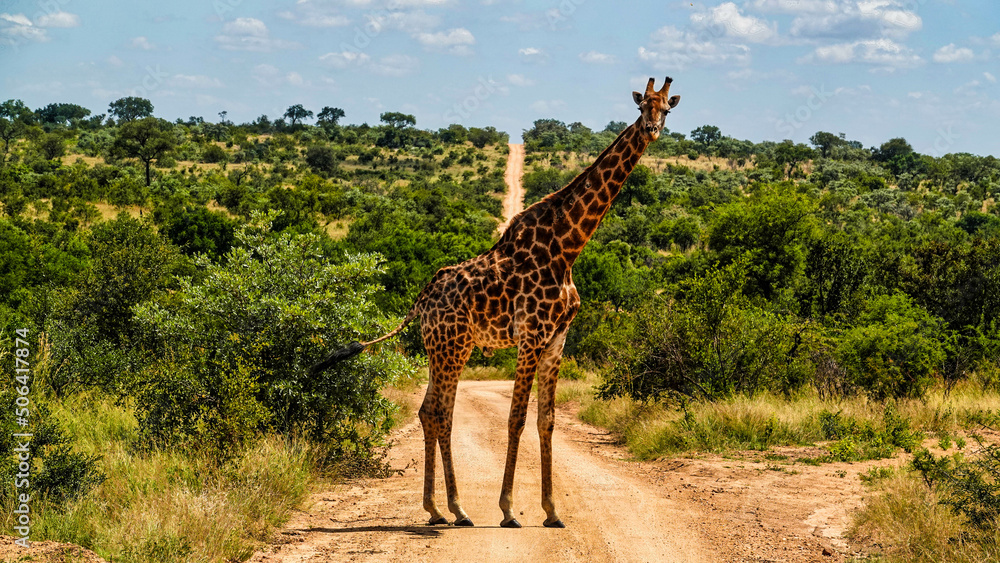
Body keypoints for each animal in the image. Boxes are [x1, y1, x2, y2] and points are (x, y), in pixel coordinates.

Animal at [312, 76, 680, 528]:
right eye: (642, 105)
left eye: (667, 109)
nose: (652, 130)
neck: (567, 249)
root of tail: (421, 301)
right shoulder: (531, 337)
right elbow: (516, 418)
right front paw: (507, 510)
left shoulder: (557, 341)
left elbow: (546, 421)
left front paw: (552, 511)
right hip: (451, 346)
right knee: (441, 414)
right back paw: (457, 508)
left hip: (444, 347)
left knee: (428, 411)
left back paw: (437, 509)